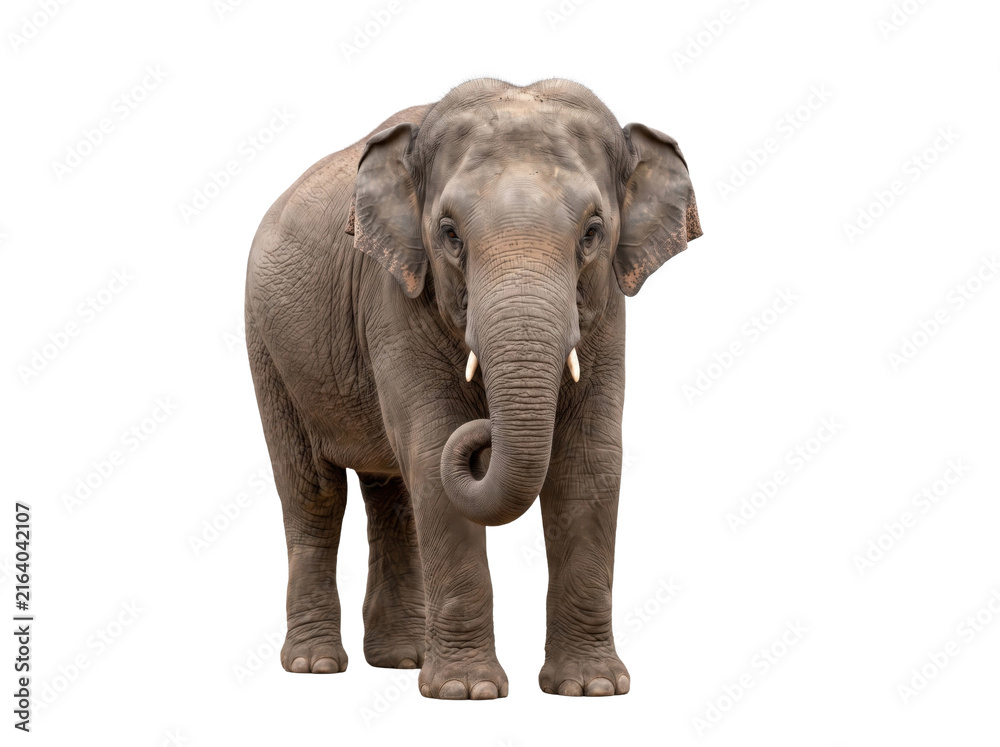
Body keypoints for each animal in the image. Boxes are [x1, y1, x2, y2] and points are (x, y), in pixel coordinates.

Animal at [244, 77, 701, 699]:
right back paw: (315, 666)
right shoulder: (393, 294)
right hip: (268, 348)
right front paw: (467, 692)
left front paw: (592, 689)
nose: (484, 433)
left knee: (392, 495)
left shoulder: (608, 309)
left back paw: (401, 659)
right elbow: (434, 447)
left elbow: (589, 463)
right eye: (450, 235)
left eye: (592, 232)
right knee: (313, 492)